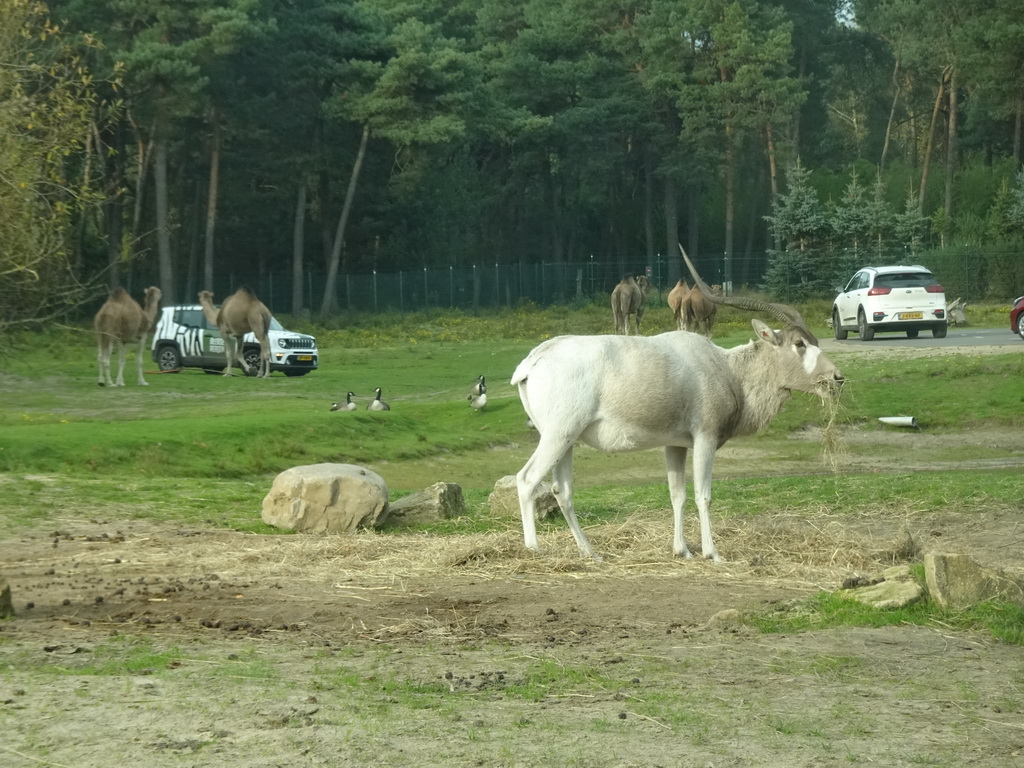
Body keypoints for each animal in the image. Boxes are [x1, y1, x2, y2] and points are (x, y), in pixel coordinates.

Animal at [516, 249, 843, 561]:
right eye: (799, 344)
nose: (837, 378)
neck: (727, 369)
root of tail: (533, 361)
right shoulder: (705, 438)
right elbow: (703, 495)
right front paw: (712, 553)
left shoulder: (674, 445)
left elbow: (677, 495)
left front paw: (682, 550)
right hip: (558, 436)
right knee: (527, 479)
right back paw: (533, 548)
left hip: (568, 441)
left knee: (562, 491)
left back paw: (590, 553)